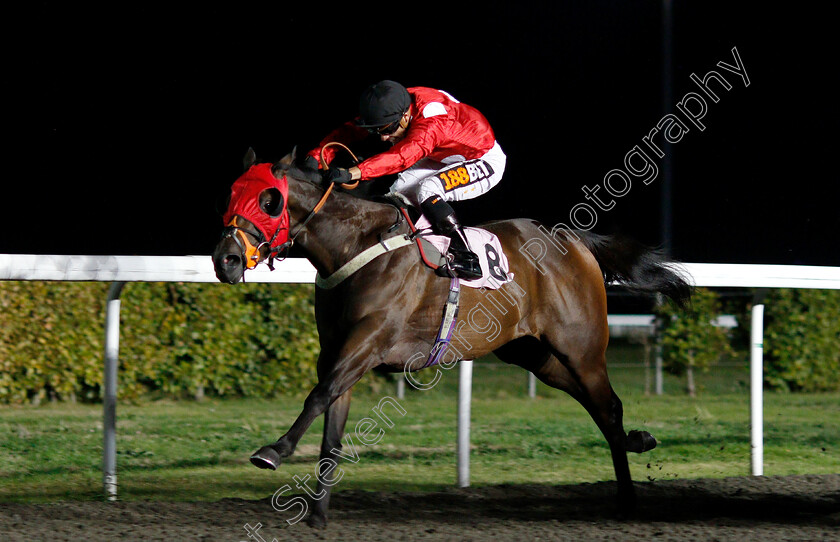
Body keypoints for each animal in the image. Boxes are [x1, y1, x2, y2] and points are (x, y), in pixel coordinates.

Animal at [210, 148, 688, 528]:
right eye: (231, 195)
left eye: (269, 200)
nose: (225, 260)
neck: (355, 246)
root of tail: (573, 239)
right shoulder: (337, 353)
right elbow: (331, 430)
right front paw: (317, 514)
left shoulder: (367, 345)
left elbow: (317, 396)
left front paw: (274, 450)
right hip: (535, 355)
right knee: (599, 409)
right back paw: (636, 446)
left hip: (581, 348)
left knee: (608, 407)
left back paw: (627, 497)